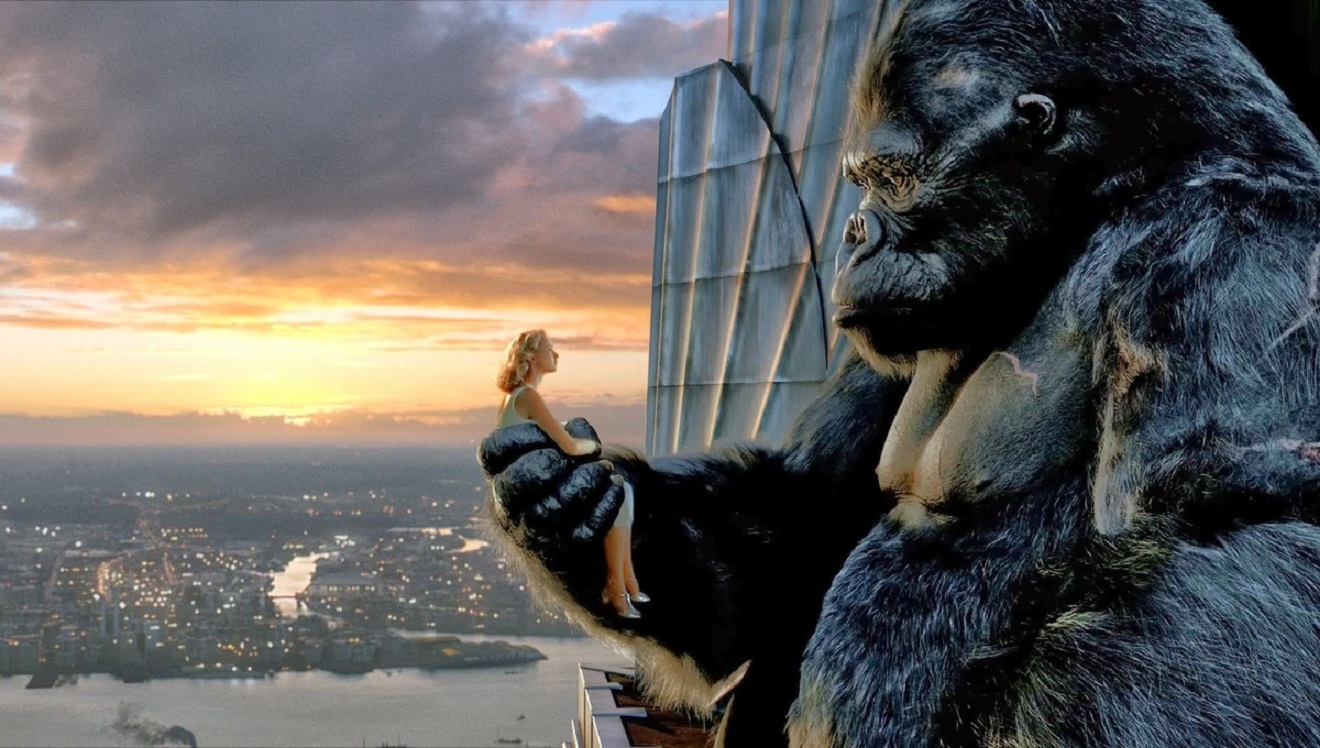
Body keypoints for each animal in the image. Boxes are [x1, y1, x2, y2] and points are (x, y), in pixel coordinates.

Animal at [480, 2, 1320, 744]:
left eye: (889, 179)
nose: (853, 231)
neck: (1099, 205)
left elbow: (1230, 544)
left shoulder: (1239, 238)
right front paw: (562, 502)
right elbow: (797, 526)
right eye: (861, 180)